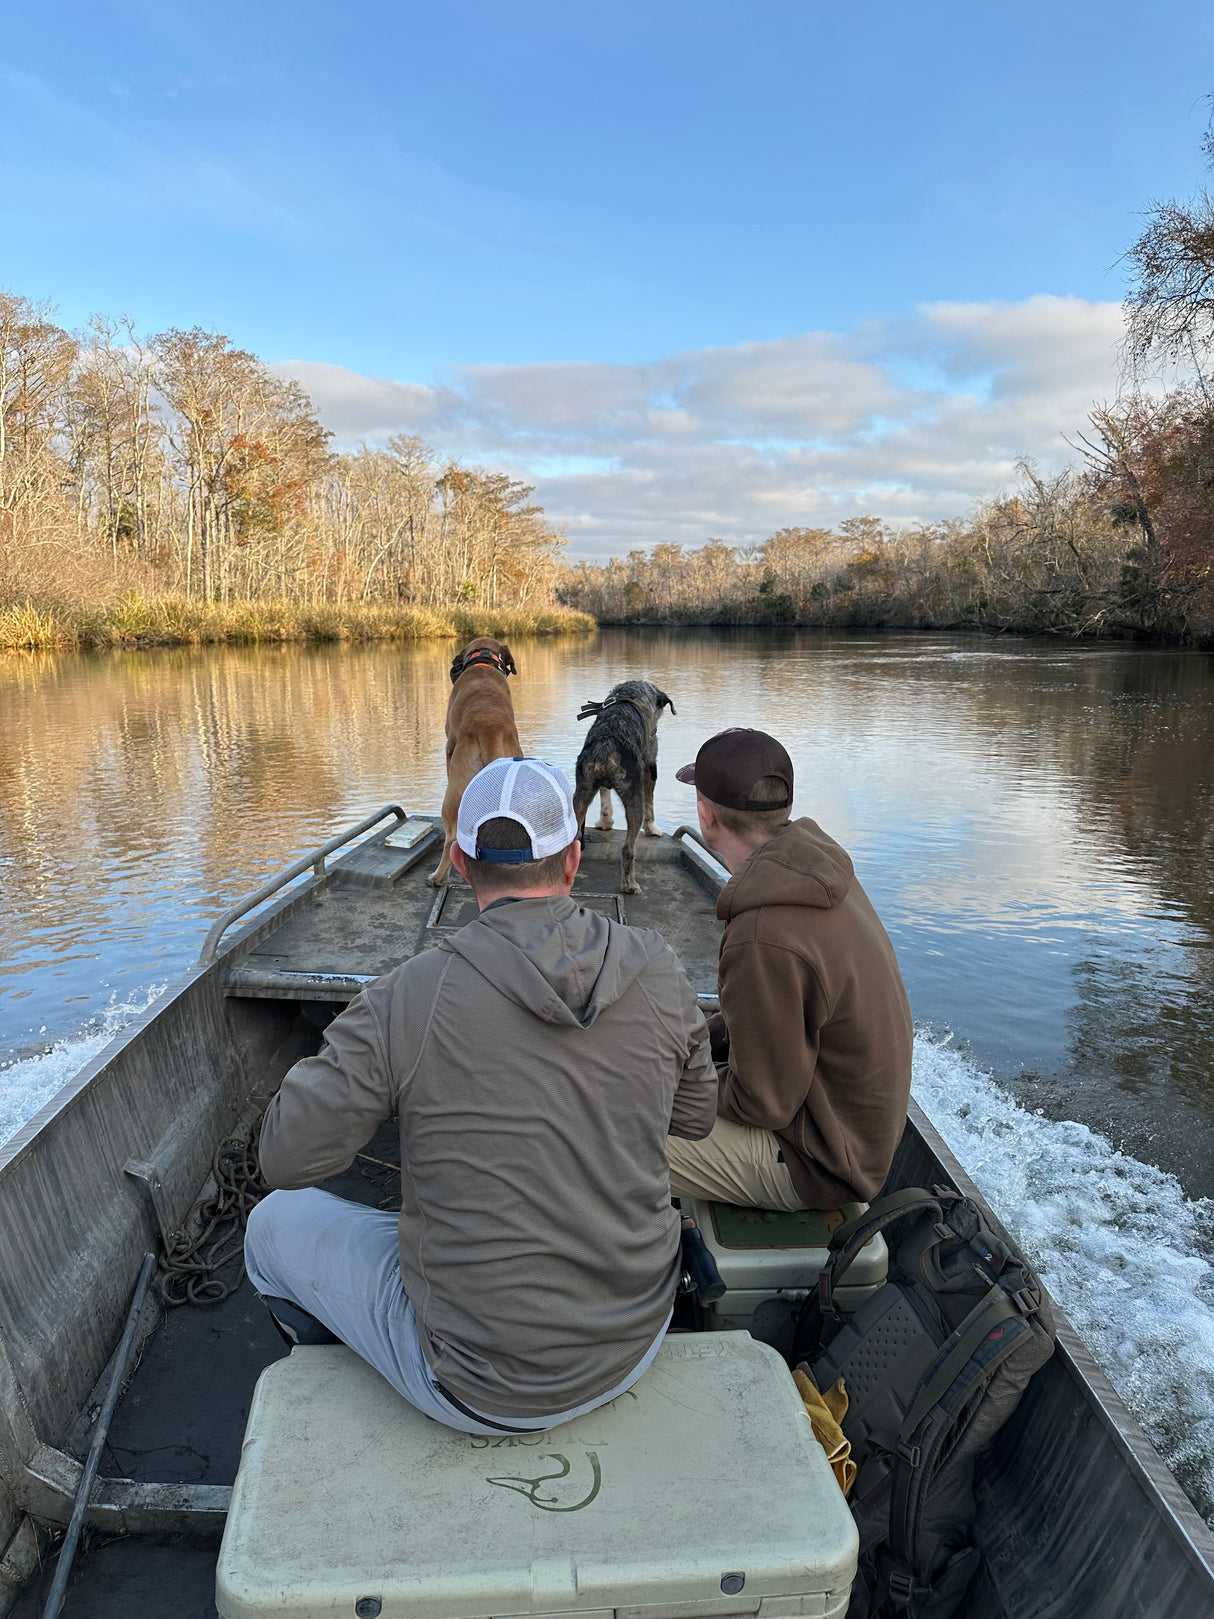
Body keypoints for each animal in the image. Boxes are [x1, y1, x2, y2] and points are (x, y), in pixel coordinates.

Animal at [430, 631, 521, 887]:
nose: (452, 669)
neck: (483, 663)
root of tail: (489, 731)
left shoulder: (449, 744)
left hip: (453, 799)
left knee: (451, 839)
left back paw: (438, 877)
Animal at [576, 676, 679, 893]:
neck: (628, 696)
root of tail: (606, 750)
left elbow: (605, 800)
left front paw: (605, 823)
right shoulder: (650, 764)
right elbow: (650, 802)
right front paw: (653, 829)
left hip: (581, 792)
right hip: (634, 798)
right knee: (628, 848)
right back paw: (630, 885)